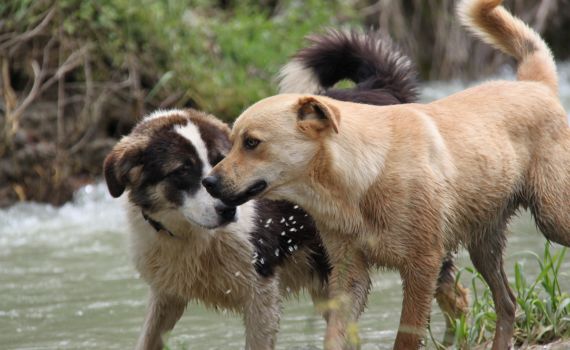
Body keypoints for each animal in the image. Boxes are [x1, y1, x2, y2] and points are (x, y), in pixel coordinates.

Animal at [103, 30, 466, 350]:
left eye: (220, 158)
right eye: (181, 171)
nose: (227, 209)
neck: (194, 238)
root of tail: (379, 87)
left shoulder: (261, 294)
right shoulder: (167, 296)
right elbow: (147, 339)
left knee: (458, 300)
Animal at [204, 1, 568, 348]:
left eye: (252, 143)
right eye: (232, 141)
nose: (208, 183)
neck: (363, 176)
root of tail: (534, 85)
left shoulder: (423, 264)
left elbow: (406, 335)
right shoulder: (348, 272)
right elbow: (335, 335)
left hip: (552, 217)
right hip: (484, 243)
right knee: (507, 303)